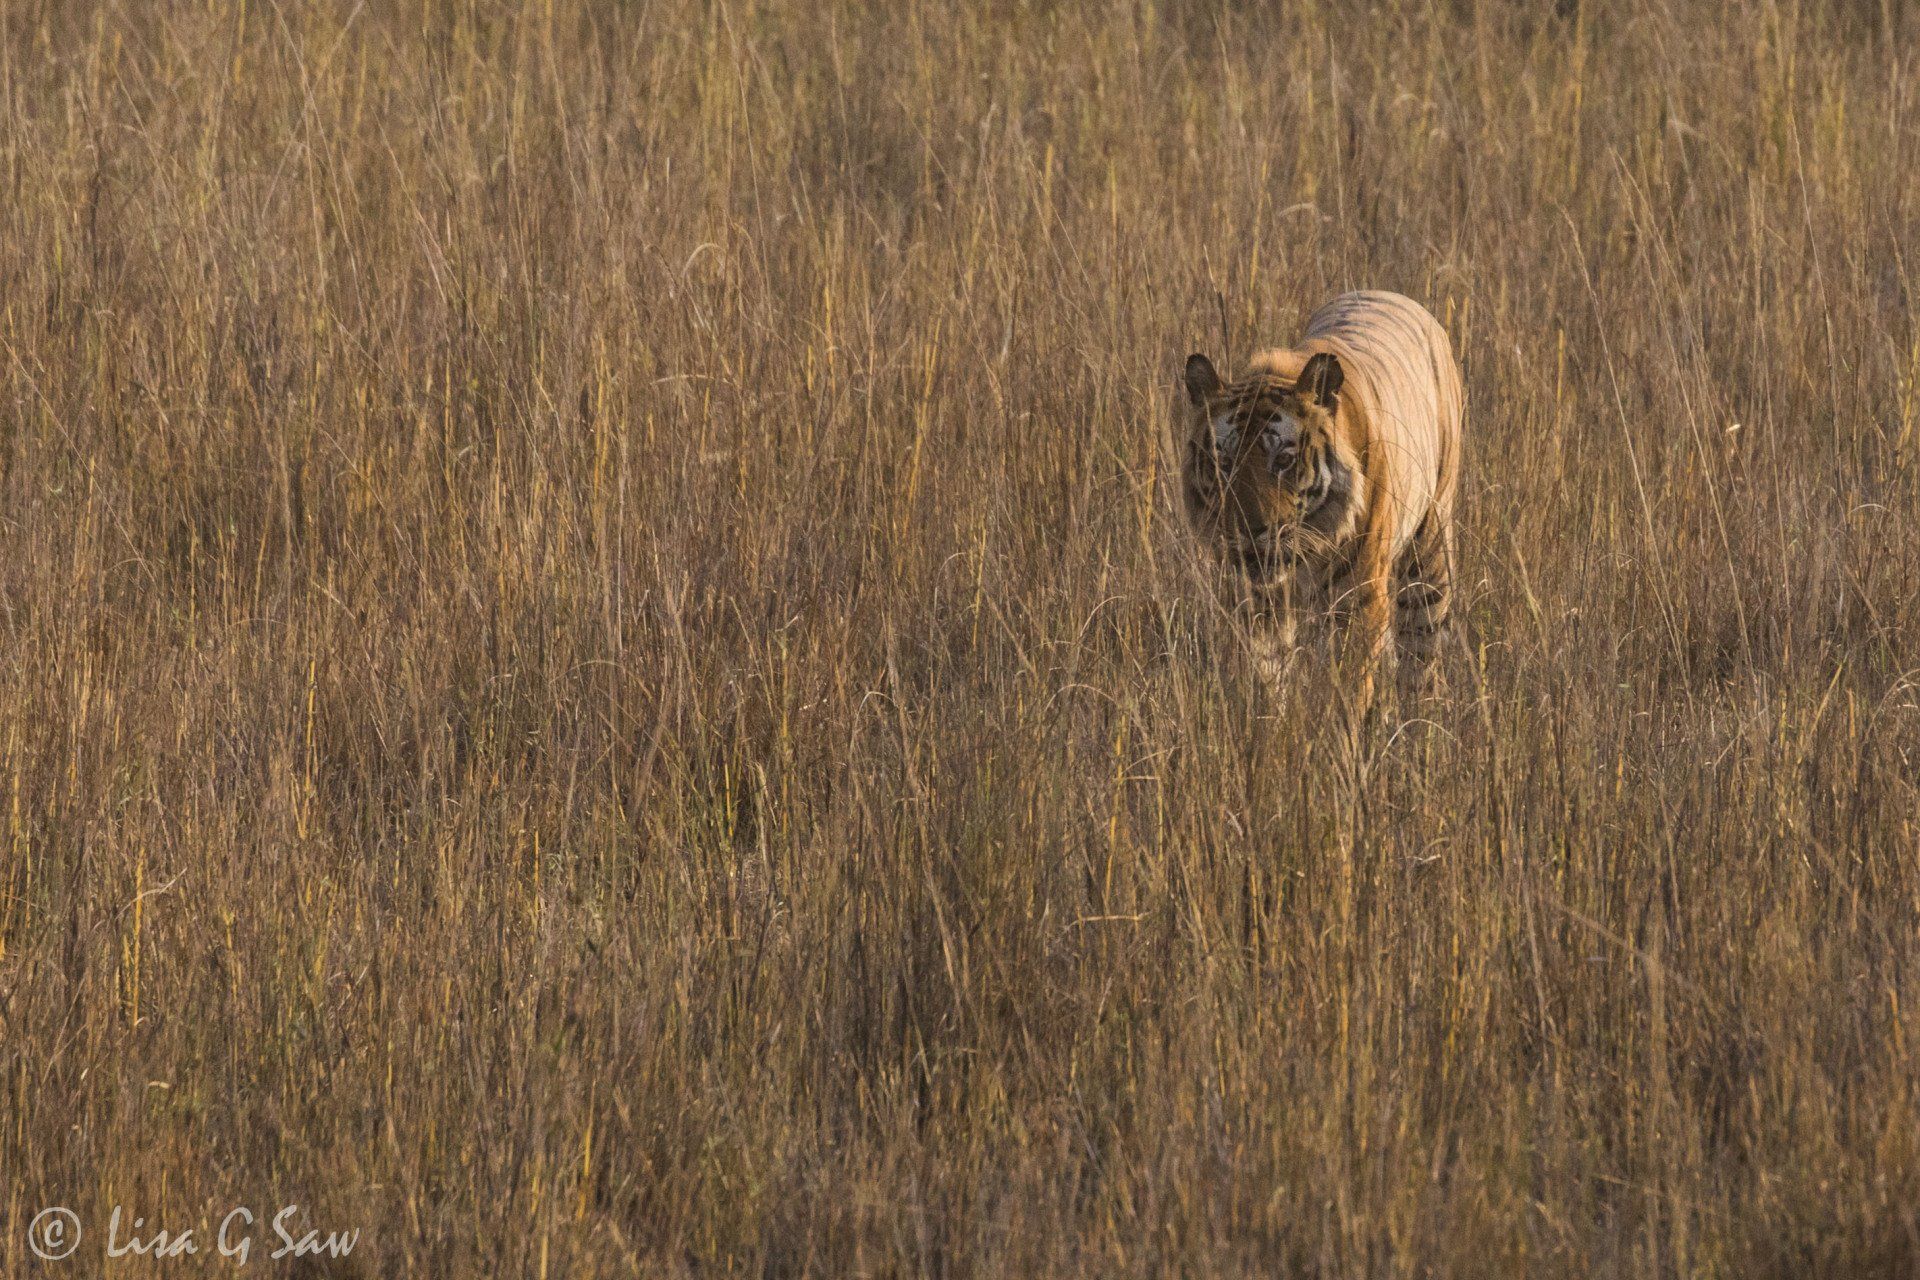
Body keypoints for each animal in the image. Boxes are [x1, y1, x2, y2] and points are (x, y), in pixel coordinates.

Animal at [1177, 290, 1464, 707]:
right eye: (1224, 464)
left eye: (1283, 461)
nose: (1250, 530)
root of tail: (1391, 294)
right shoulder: (1254, 601)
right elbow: (1265, 678)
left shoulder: (1356, 601)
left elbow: (1346, 693)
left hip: (1429, 548)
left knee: (1422, 648)